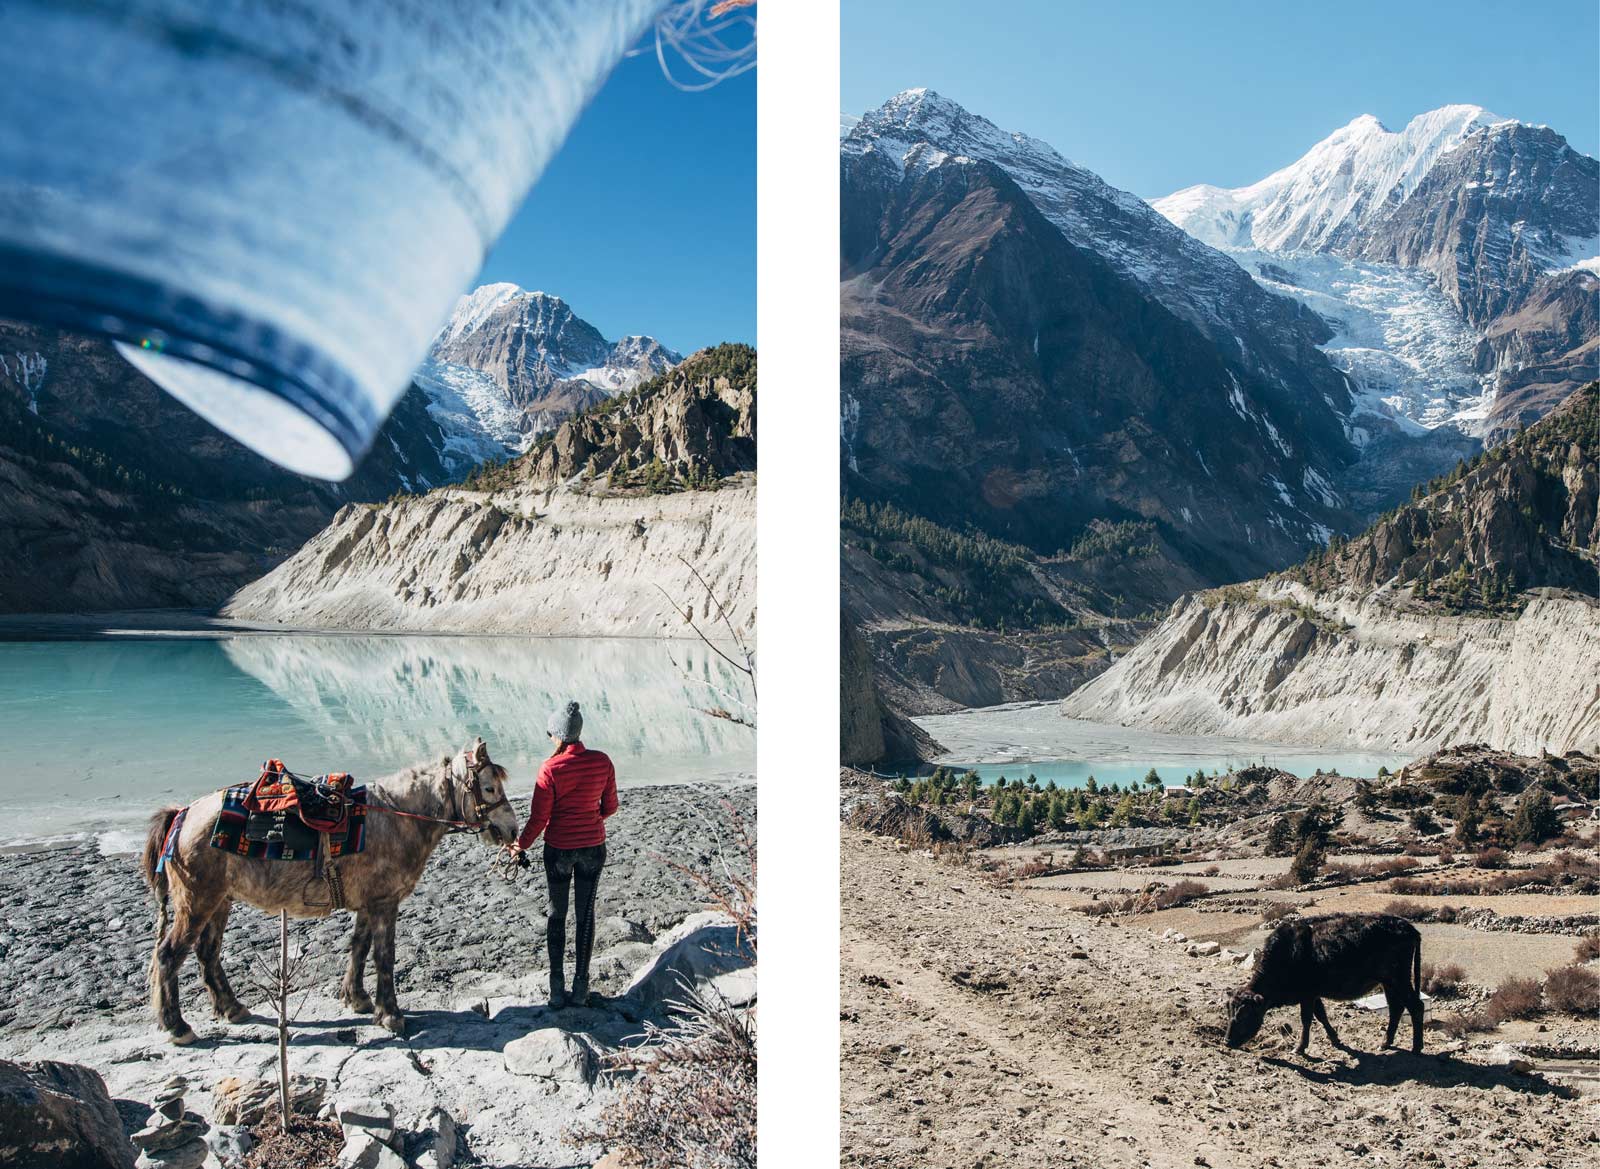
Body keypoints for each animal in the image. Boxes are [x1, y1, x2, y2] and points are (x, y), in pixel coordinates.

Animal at [1222, 921, 1427, 1055]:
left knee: (1415, 1006)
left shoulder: (1307, 995)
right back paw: (1385, 1043)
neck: (1288, 953)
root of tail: (1408, 927)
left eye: (1245, 1014)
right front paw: (1335, 1039)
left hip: (1399, 979)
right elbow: (1321, 1015)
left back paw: (1416, 1048)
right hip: (1388, 982)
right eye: (1229, 1010)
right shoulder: (1314, 994)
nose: (1227, 1041)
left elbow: (1306, 1019)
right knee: (1396, 1008)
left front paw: (1299, 1047)